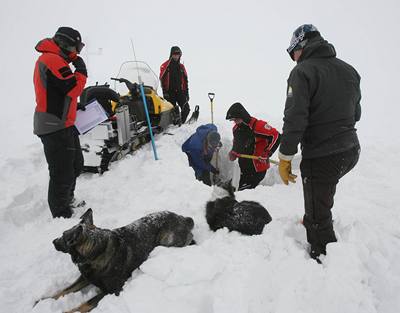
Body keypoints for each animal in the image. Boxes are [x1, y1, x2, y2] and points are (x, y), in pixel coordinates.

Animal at [36, 208, 195, 312]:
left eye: (64, 237)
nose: (53, 241)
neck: (96, 252)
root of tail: (184, 219)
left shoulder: (112, 290)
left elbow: (84, 305)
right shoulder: (85, 278)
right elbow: (64, 290)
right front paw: (42, 300)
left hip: (166, 240)